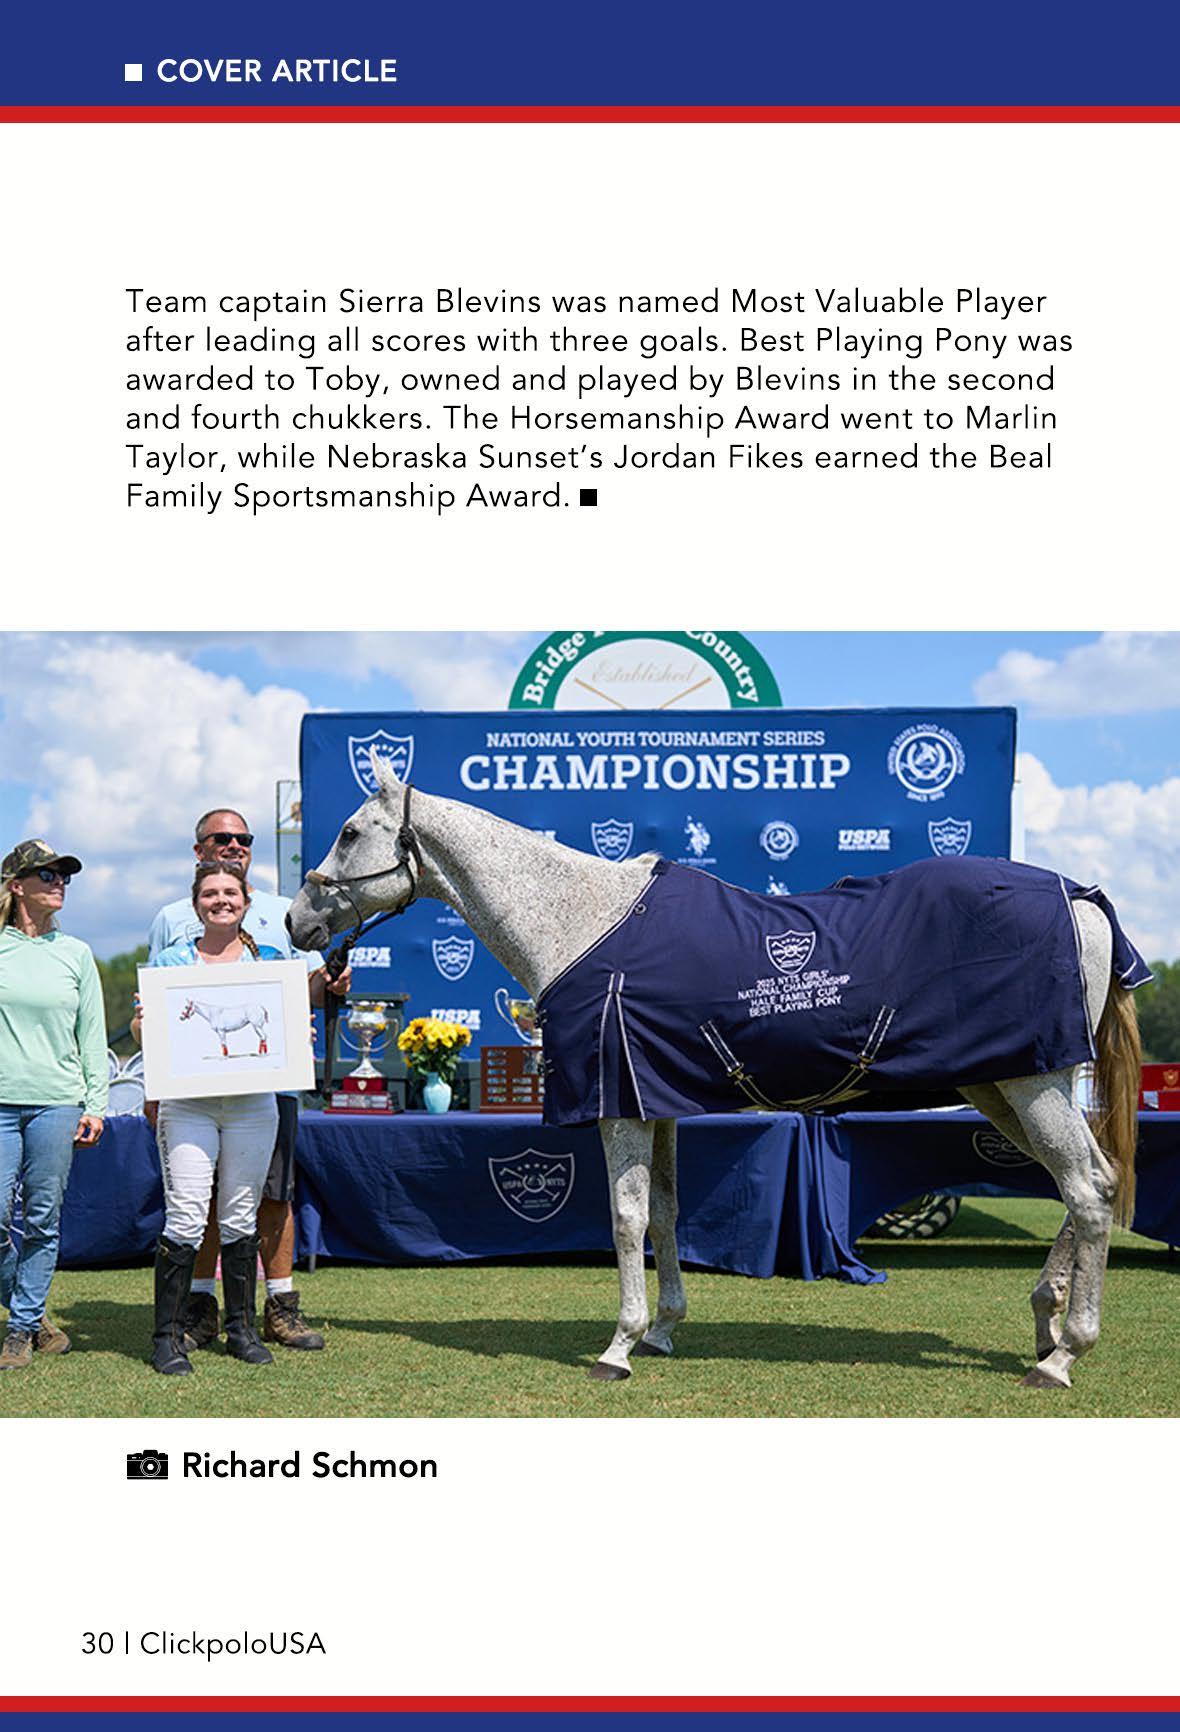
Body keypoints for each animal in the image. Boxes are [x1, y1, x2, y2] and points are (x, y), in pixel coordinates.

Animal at [286, 752, 1146, 1391]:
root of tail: (1079, 895)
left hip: (1030, 1085)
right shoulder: (653, 1100)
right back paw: (1045, 1322)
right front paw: (664, 1329)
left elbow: (626, 1217)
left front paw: (619, 1346)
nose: (297, 921)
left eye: (351, 831)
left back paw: (1066, 1354)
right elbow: (665, 1214)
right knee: (1089, 1183)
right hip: (1003, 1086)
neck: (580, 921)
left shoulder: (618, 1105)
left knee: (1086, 1190)